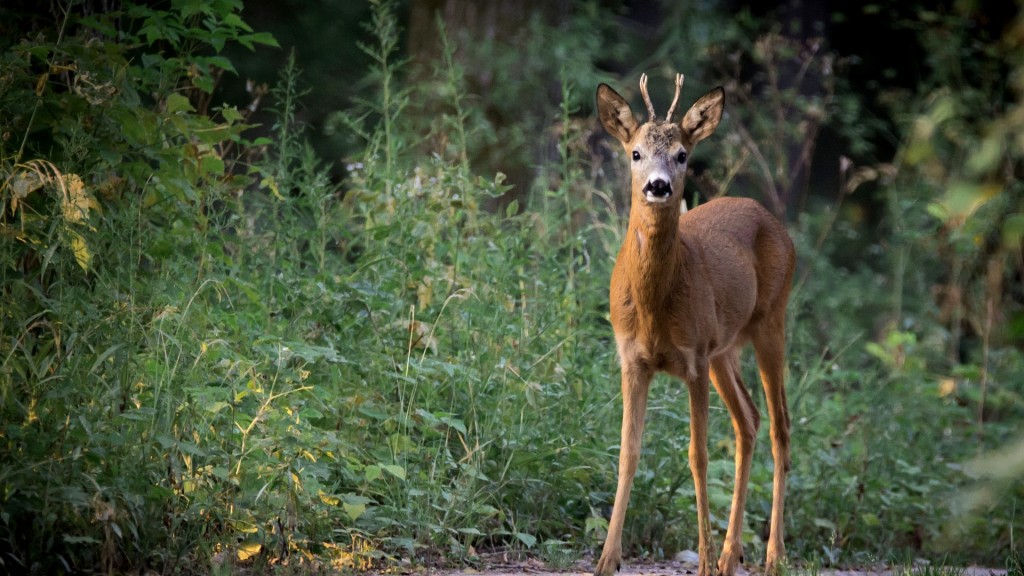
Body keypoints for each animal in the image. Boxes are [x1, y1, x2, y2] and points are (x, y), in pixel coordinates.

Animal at [589, 73, 794, 573]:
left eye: (682, 154)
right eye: (635, 153)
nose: (659, 186)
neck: (654, 309)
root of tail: (771, 218)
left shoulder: (694, 358)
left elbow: (697, 456)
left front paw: (701, 560)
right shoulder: (632, 359)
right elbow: (627, 452)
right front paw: (607, 559)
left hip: (770, 321)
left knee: (779, 427)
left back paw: (772, 554)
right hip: (725, 349)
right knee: (749, 420)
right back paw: (731, 553)